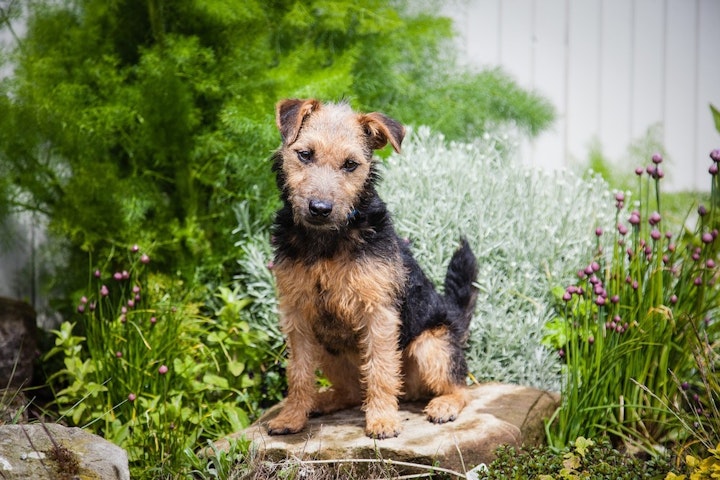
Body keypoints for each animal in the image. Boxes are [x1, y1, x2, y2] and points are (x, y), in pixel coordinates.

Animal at [264, 98, 478, 438]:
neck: (326, 241)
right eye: (305, 154)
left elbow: (380, 370)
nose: (320, 209)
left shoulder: (377, 312)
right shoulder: (297, 315)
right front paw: (291, 417)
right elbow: (298, 372)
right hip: (328, 348)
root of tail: (455, 318)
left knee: (460, 387)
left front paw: (382, 421)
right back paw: (320, 402)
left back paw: (443, 406)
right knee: (351, 392)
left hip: (431, 346)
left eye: (351, 164)